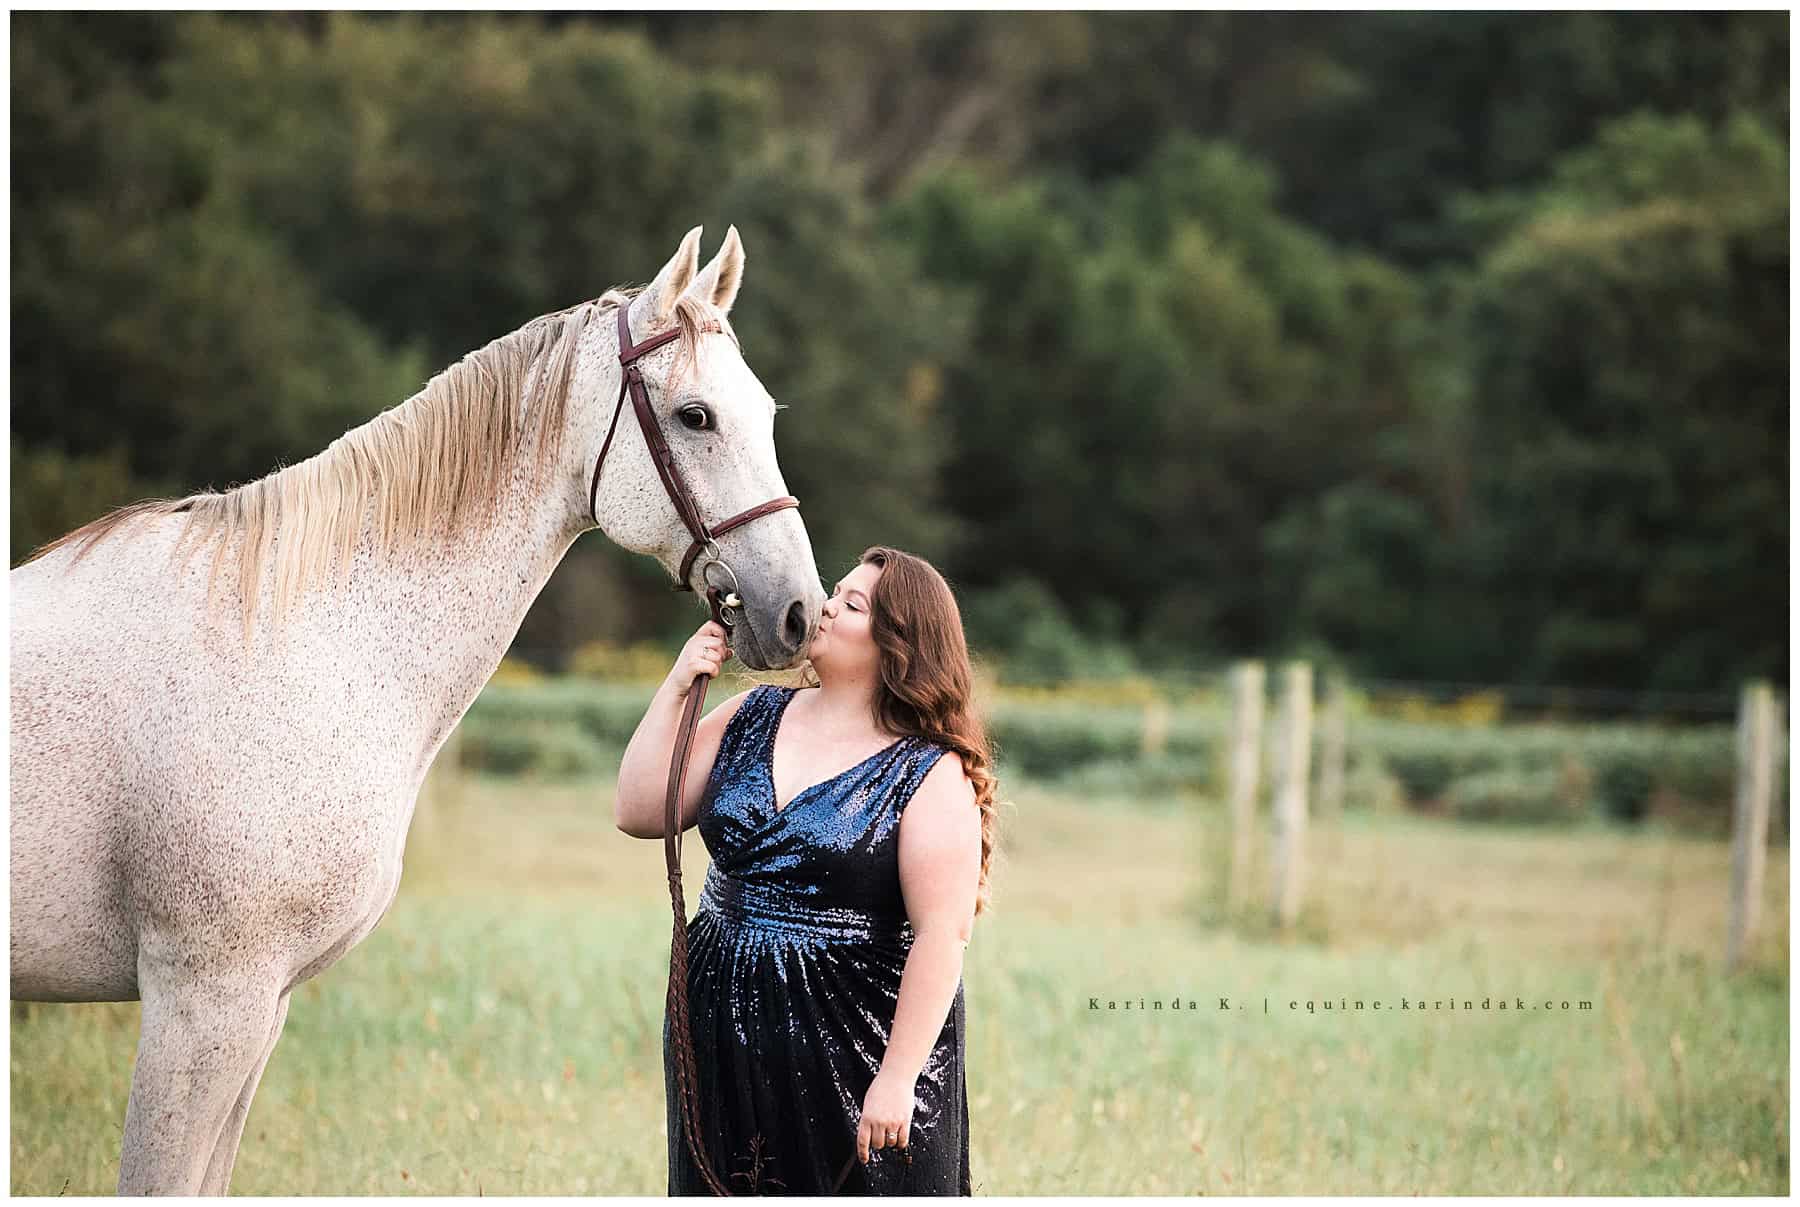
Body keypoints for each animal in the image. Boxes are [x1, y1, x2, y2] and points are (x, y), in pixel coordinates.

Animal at [10, 225, 823, 1194]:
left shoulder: (256, 1009)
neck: (302, 643)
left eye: (766, 413)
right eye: (696, 416)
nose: (801, 612)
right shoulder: (201, 999)